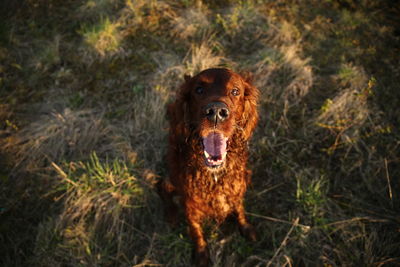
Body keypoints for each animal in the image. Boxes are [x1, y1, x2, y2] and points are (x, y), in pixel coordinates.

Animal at [158, 68, 258, 266]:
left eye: (235, 91)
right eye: (199, 90)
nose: (216, 112)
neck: (214, 175)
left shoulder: (236, 188)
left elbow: (239, 208)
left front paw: (245, 227)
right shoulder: (190, 204)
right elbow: (195, 230)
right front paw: (202, 253)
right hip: (169, 180)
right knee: (161, 189)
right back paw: (171, 215)